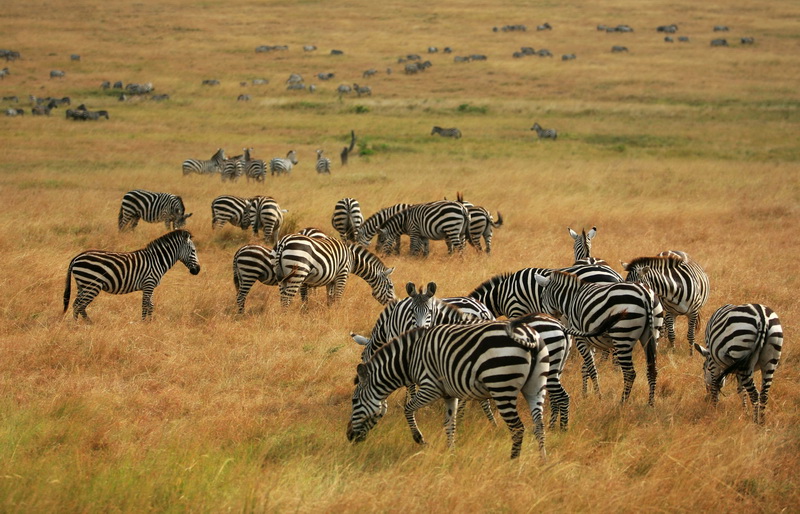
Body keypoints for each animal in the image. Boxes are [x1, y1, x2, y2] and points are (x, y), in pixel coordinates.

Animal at [62, 229, 200, 320]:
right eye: (193, 251)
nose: (197, 270)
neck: (157, 260)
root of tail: (77, 257)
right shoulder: (148, 283)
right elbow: (145, 305)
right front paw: (143, 324)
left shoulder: (151, 286)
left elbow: (151, 305)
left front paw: (150, 324)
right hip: (92, 285)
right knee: (80, 305)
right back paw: (86, 324)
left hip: (82, 284)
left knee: (76, 304)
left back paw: (77, 325)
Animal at [346, 314, 552, 458]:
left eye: (354, 401)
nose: (348, 436)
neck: (408, 358)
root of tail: (528, 336)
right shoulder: (449, 394)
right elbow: (449, 424)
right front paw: (451, 452)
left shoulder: (430, 388)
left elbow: (408, 409)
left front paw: (420, 439)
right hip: (536, 387)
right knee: (538, 425)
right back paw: (542, 460)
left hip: (501, 385)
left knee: (518, 428)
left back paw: (513, 461)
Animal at [536, 270, 664, 406]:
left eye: (542, 297)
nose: (545, 318)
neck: (571, 299)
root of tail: (645, 294)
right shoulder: (590, 340)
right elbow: (585, 368)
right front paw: (585, 393)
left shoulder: (581, 339)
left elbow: (592, 369)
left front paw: (598, 396)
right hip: (652, 333)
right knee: (652, 369)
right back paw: (650, 403)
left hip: (622, 336)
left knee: (629, 373)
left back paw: (622, 402)